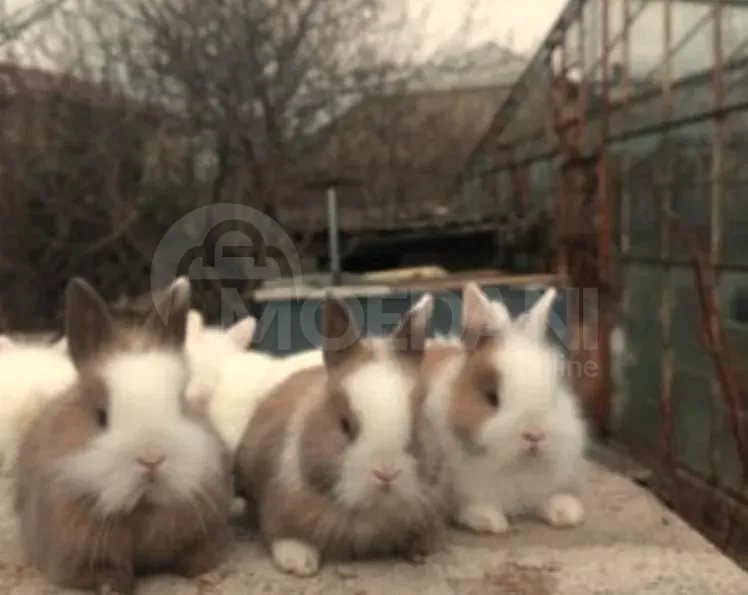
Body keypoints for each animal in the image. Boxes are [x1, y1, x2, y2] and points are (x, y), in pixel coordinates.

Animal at [14, 276, 234, 595]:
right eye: (100, 415)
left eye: (181, 403)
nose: (152, 458)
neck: (142, 509)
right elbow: (101, 573)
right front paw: (112, 584)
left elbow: (197, 552)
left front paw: (204, 570)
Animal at [233, 293, 451, 577]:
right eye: (345, 424)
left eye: (418, 420)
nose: (386, 473)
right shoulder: (277, 503)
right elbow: (283, 535)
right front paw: (300, 562)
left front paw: (422, 550)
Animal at [423, 282, 587, 535]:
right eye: (492, 397)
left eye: (555, 390)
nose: (534, 434)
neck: (515, 469)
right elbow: (471, 506)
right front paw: (490, 520)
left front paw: (567, 512)